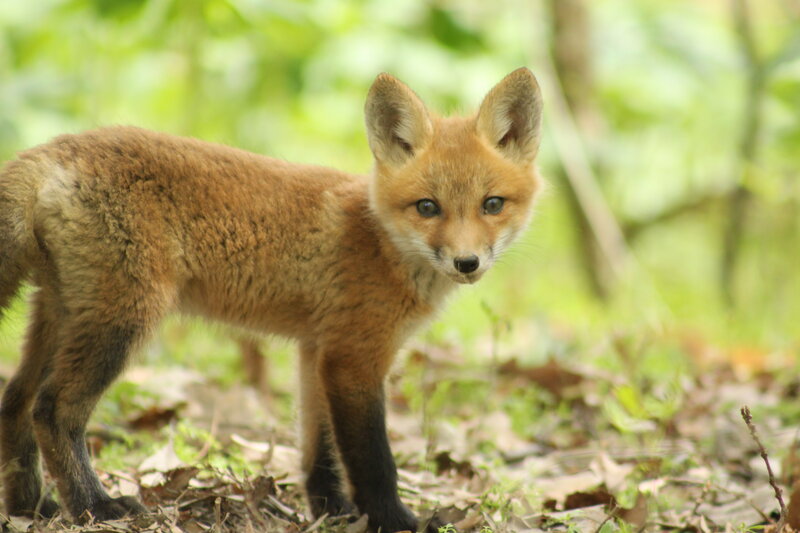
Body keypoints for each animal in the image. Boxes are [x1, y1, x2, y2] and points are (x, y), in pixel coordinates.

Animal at [0, 68, 542, 532]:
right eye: (428, 207)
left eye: (492, 204)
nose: (467, 263)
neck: (381, 241)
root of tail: (51, 147)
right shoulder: (354, 358)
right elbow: (373, 460)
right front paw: (393, 520)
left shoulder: (317, 351)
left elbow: (319, 454)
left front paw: (333, 513)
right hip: (122, 321)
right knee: (52, 409)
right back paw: (94, 506)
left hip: (63, 313)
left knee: (15, 400)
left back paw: (32, 507)